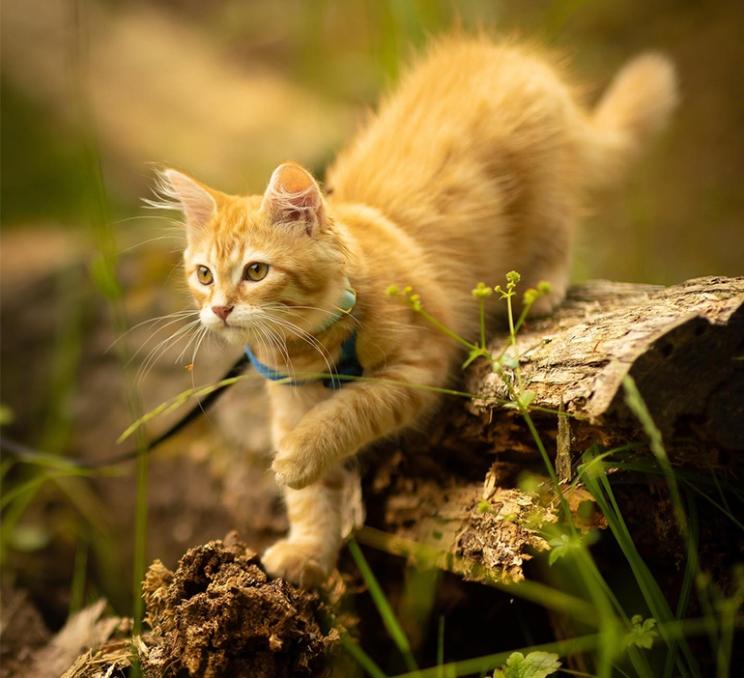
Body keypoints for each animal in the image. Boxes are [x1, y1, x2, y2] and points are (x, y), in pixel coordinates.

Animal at [158, 38, 680, 588]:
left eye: (256, 271)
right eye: (204, 275)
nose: (219, 309)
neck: (311, 347)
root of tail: (516, 60)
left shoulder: (419, 369)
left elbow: (347, 409)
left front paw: (296, 459)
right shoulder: (289, 401)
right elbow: (311, 499)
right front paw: (308, 552)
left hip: (546, 195)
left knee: (560, 231)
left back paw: (541, 289)